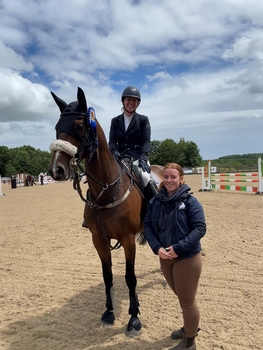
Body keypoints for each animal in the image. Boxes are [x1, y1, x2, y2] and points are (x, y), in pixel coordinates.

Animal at [47, 87, 163, 336]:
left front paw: (134, 319)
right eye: (57, 126)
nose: (55, 170)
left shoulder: (127, 239)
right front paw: (109, 313)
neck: (106, 189)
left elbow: (130, 278)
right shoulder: (98, 240)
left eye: (79, 125)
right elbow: (107, 276)